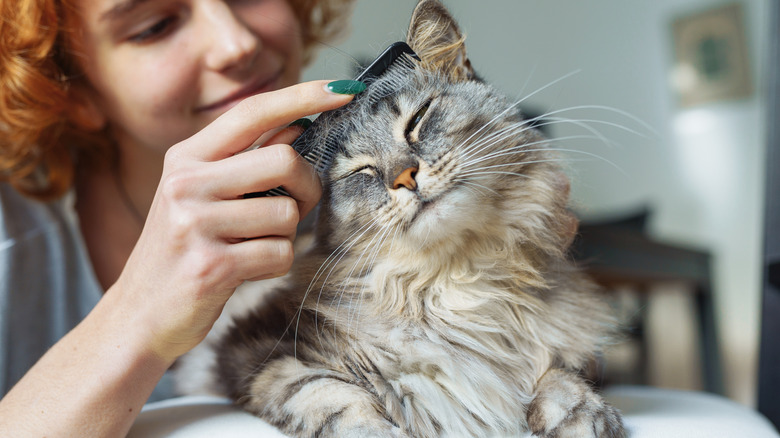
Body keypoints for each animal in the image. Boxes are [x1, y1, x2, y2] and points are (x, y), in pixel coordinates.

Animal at [178, 1, 628, 436]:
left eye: (418, 119)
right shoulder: (257, 352)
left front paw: (582, 414)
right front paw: (373, 430)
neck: (458, 282)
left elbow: (558, 373)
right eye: (359, 172)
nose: (404, 177)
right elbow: (329, 396)